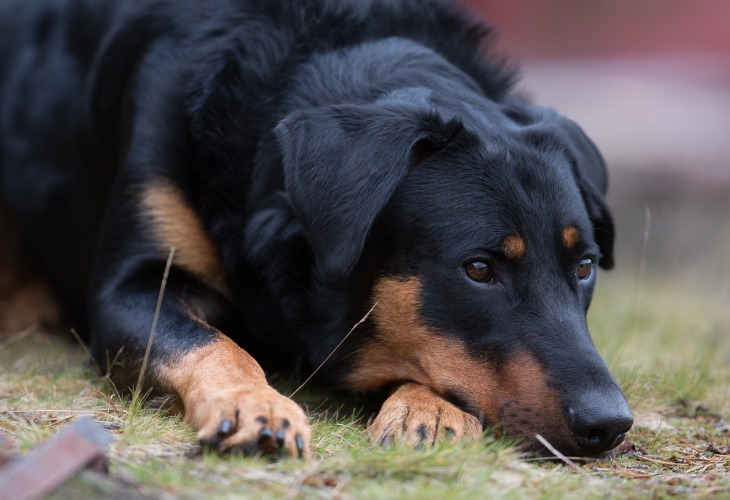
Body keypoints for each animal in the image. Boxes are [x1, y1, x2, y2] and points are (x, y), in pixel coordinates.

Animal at [0, 0, 632, 458]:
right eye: (478, 269)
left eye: (584, 267)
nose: (612, 424)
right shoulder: (130, 288)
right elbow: (211, 342)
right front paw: (254, 404)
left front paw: (431, 409)